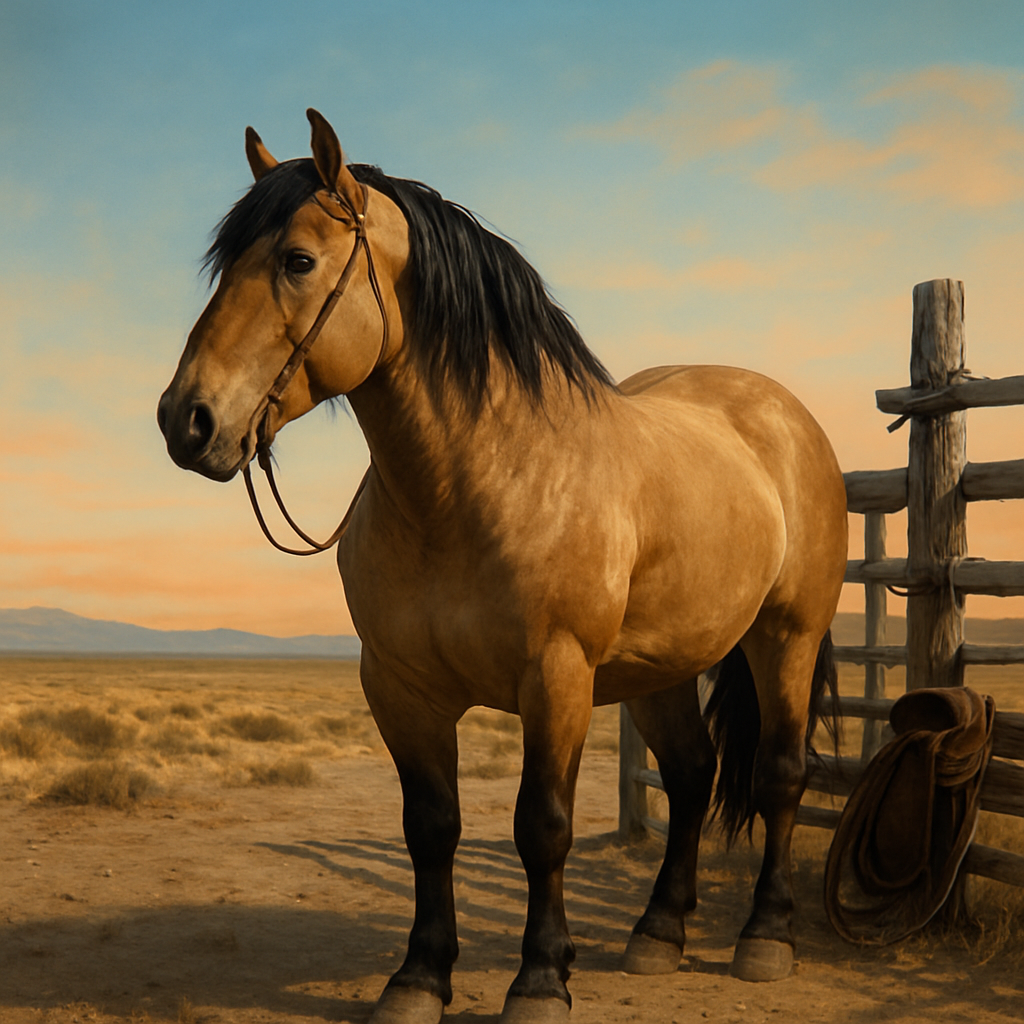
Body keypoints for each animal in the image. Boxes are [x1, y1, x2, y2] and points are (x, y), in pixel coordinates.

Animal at [158, 109, 848, 1024]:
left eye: (296, 261)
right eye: (221, 266)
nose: (186, 419)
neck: (473, 483)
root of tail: (783, 414)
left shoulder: (555, 677)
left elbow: (542, 827)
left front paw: (541, 979)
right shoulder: (400, 687)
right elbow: (431, 828)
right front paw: (419, 978)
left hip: (786, 639)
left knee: (778, 775)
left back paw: (765, 938)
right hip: (661, 666)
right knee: (693, 774)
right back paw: (657, 934)